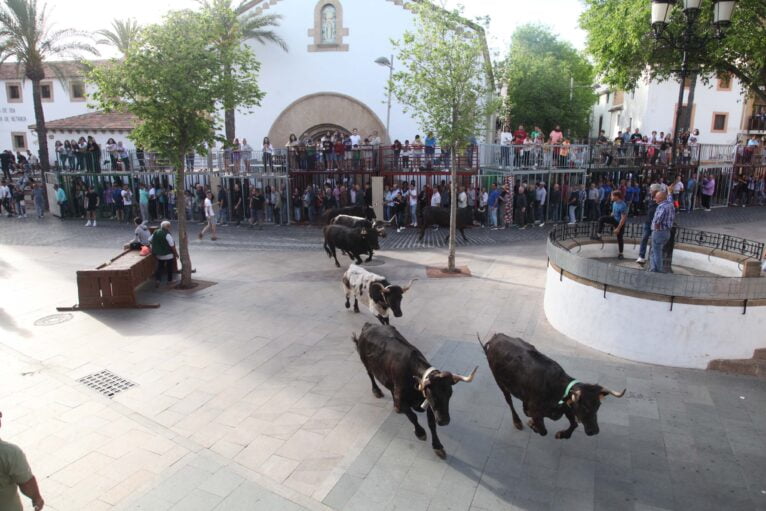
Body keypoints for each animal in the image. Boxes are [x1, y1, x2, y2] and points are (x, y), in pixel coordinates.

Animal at [352, 324, 474, 460]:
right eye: (433, 394)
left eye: (450, 394)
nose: (444, 421)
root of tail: (368, 325)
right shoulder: (405, 402)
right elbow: (412, 416)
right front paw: (420, 433)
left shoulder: (428, 404)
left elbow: (431, 424)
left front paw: (437, 446)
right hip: (365, 362)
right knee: (370, 375)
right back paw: (376, 391)